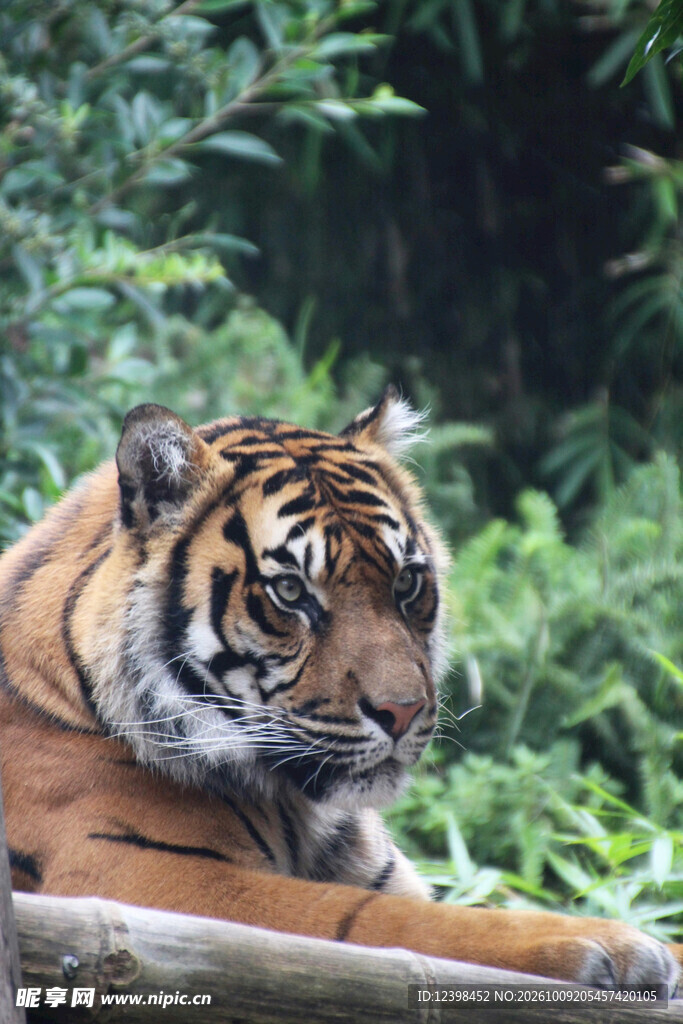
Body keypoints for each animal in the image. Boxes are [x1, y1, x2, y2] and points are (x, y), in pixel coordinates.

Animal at [0, 387, 680, 990]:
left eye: (407, 583)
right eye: (291, 591)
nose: (403, 711)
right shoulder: (156, 883)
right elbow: (404, 925)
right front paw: (609, 943)